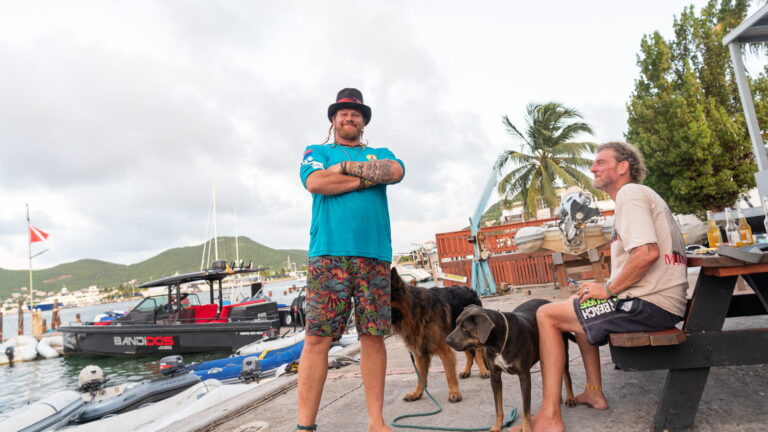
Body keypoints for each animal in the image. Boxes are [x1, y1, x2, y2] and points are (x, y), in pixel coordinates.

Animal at [390, 268, 492, 404]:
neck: (415, 310)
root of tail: (471, 290)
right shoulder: (420, 353)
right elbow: (420, 376)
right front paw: (417, 393)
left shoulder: (444, 349)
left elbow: (448, 373)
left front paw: (454, 393)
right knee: (470, 354)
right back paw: (466, 371)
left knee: (478, 352)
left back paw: (483, 370)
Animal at [444, 300, 576, 432]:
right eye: (456, 324)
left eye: (465, 329)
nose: (446, 341)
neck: (498, 344)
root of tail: (550, 302)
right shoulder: (495, 377)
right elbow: (498, 407)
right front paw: (497, 427)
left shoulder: (524, 376)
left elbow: (525, 411)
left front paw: (527, 428)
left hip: (562, 350)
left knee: (566, 374)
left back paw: (570, 398)